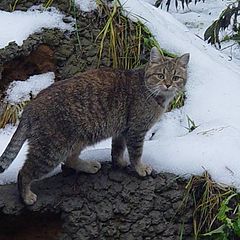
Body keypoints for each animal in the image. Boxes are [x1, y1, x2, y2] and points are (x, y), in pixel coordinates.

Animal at [0, 47, 189, 204]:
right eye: (160, 75)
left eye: (176, 77)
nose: (168, 84)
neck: (150, 91)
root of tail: (29, 107)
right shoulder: (136, 130)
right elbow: (136, 154)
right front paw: (140, 168)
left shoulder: (122, 130)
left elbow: (117, 150)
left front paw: (119, 163)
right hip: (50, 151)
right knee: (24, 172)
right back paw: (26, 196)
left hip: (76, 141)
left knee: (69, 160)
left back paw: (88, 166)